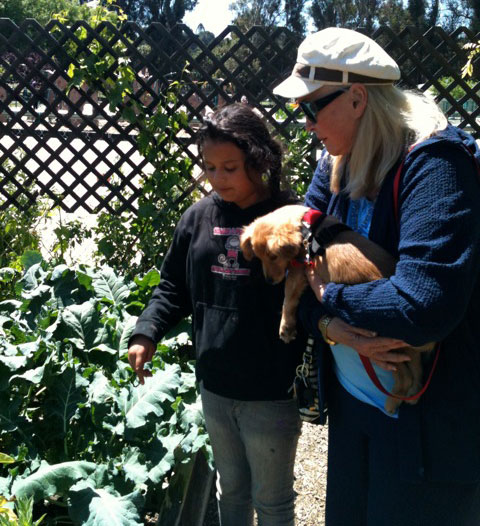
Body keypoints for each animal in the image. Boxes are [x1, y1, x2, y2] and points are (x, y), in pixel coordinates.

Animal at [242, 204, 434, 414]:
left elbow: (288, 296)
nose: (269, 281)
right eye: (259, 257)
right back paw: (413, 395)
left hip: (385, 348)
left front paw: (285, 327)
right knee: (417, 367)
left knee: (405, 376)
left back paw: (392, 402)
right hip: (404, 349)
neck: (306, 226)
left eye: (273, 256)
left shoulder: (299, 269)